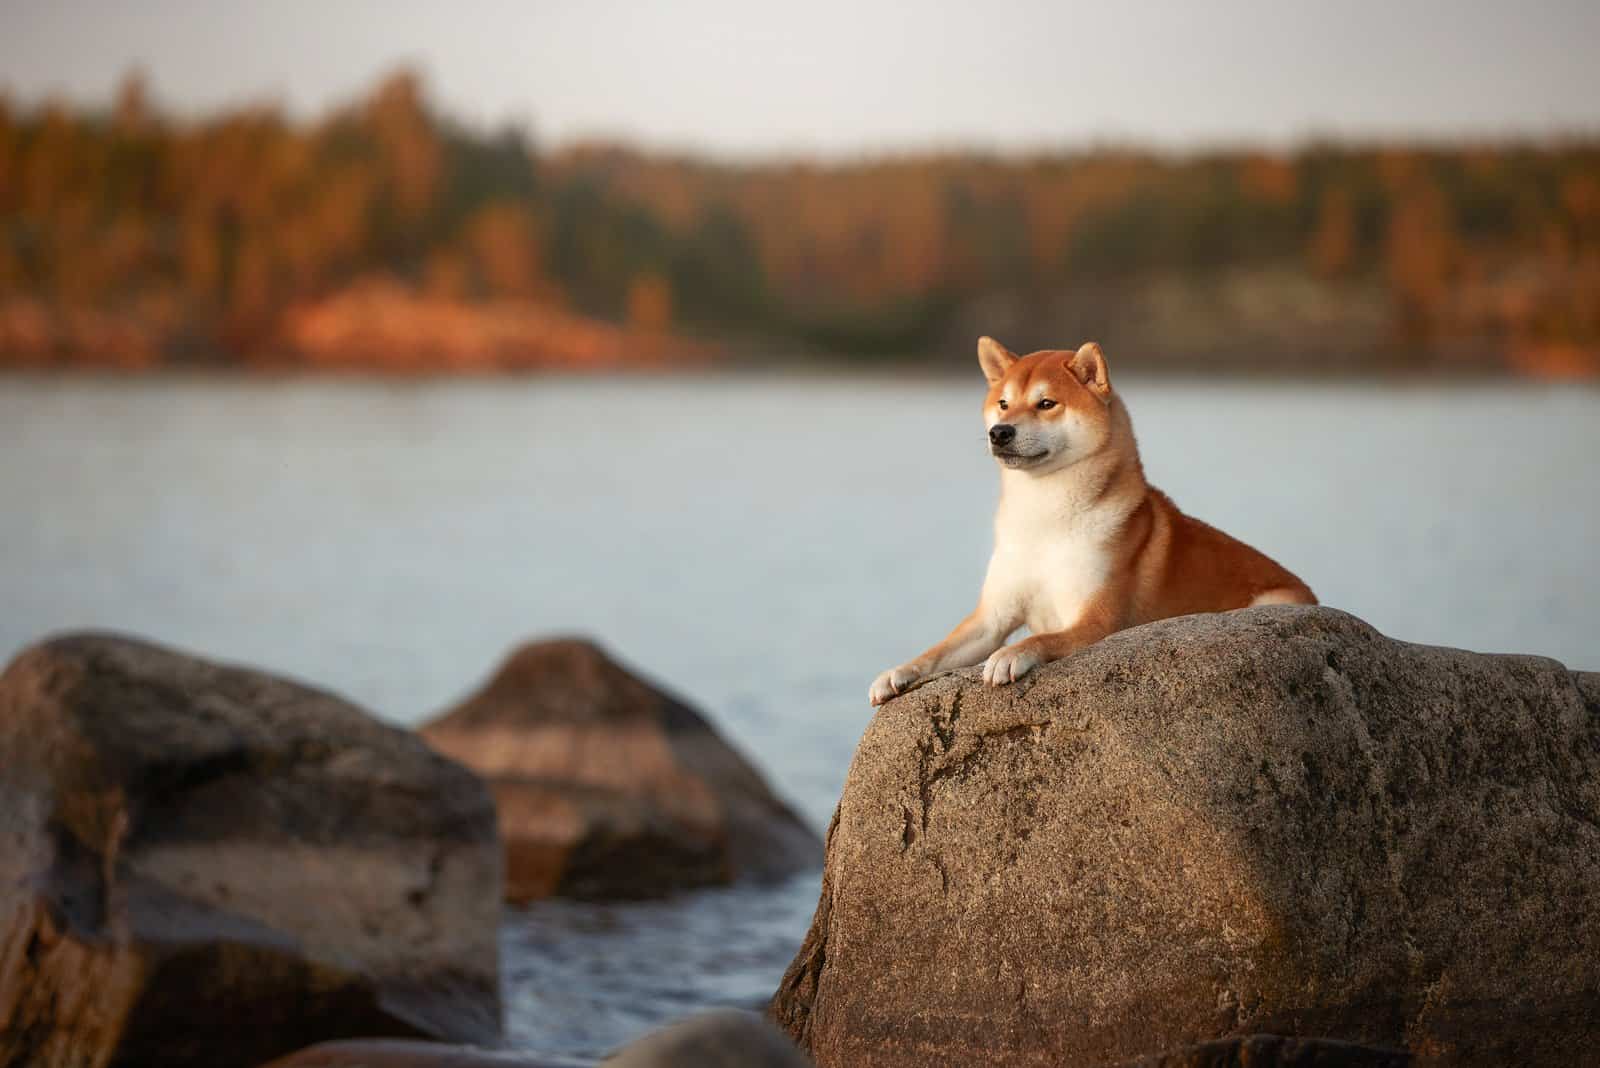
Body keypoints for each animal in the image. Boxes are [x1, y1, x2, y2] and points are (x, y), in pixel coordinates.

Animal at [870, 337, 1318, 703]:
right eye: (1003, 403)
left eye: (1046, 404)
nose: (1000, 432)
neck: (1044, 520)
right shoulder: (991, 618)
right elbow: (938, 651)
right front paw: (897, 672)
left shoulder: (1098, 619)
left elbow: (1042, 638)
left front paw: (1010, 655)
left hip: (1274, 600)